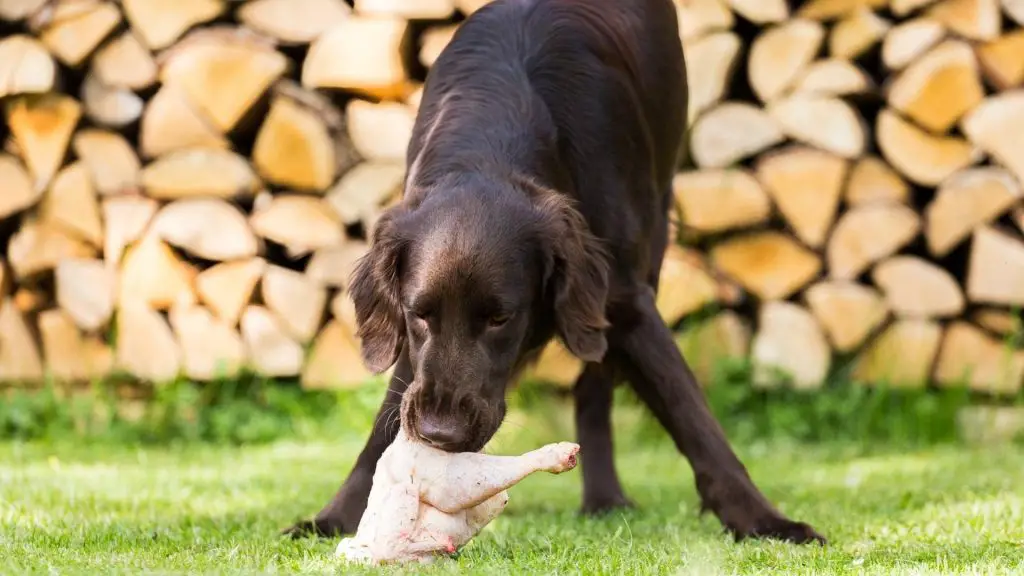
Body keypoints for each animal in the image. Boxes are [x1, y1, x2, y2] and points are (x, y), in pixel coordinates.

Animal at [284, 0, 827, 541]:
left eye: (500, 319)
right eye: (420, 315)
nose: (441, 433)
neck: (494, 140)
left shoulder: (624, 297)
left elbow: (691, 413)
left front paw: (763, 518)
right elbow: (389, 414)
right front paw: (336, 514)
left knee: (596, 384)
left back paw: (604, 496)